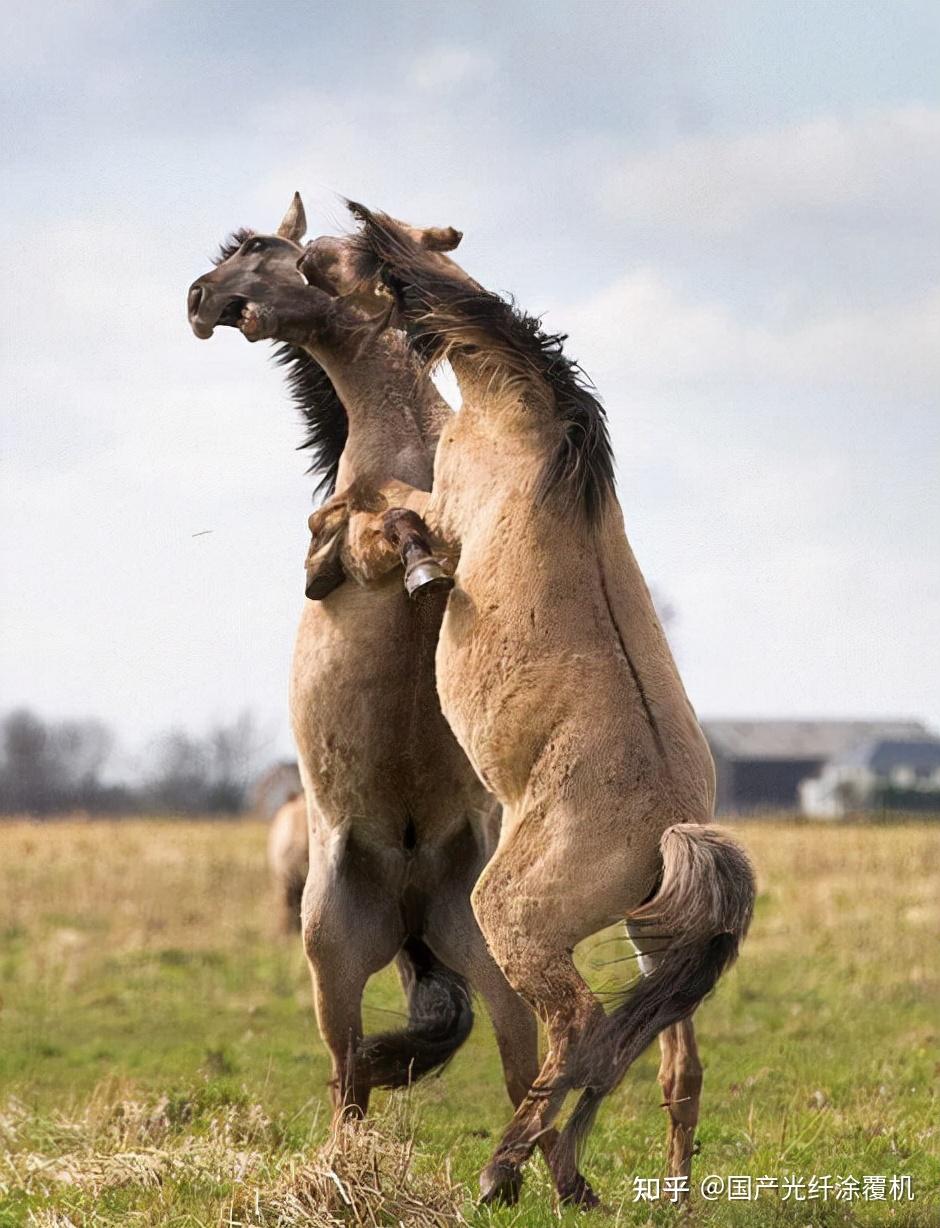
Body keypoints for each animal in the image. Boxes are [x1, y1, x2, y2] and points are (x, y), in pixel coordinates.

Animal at [185, 196, 587, 1203]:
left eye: (261, 246)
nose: (199, 300)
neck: (408, 436)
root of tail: (407, 900)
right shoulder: (351, 547)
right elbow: (382, 525)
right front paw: (418, 565)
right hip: (331, 957)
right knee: (348, 1079)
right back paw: (345, 1176)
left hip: (487, 958)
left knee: (520, 1071)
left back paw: (547, 1185)